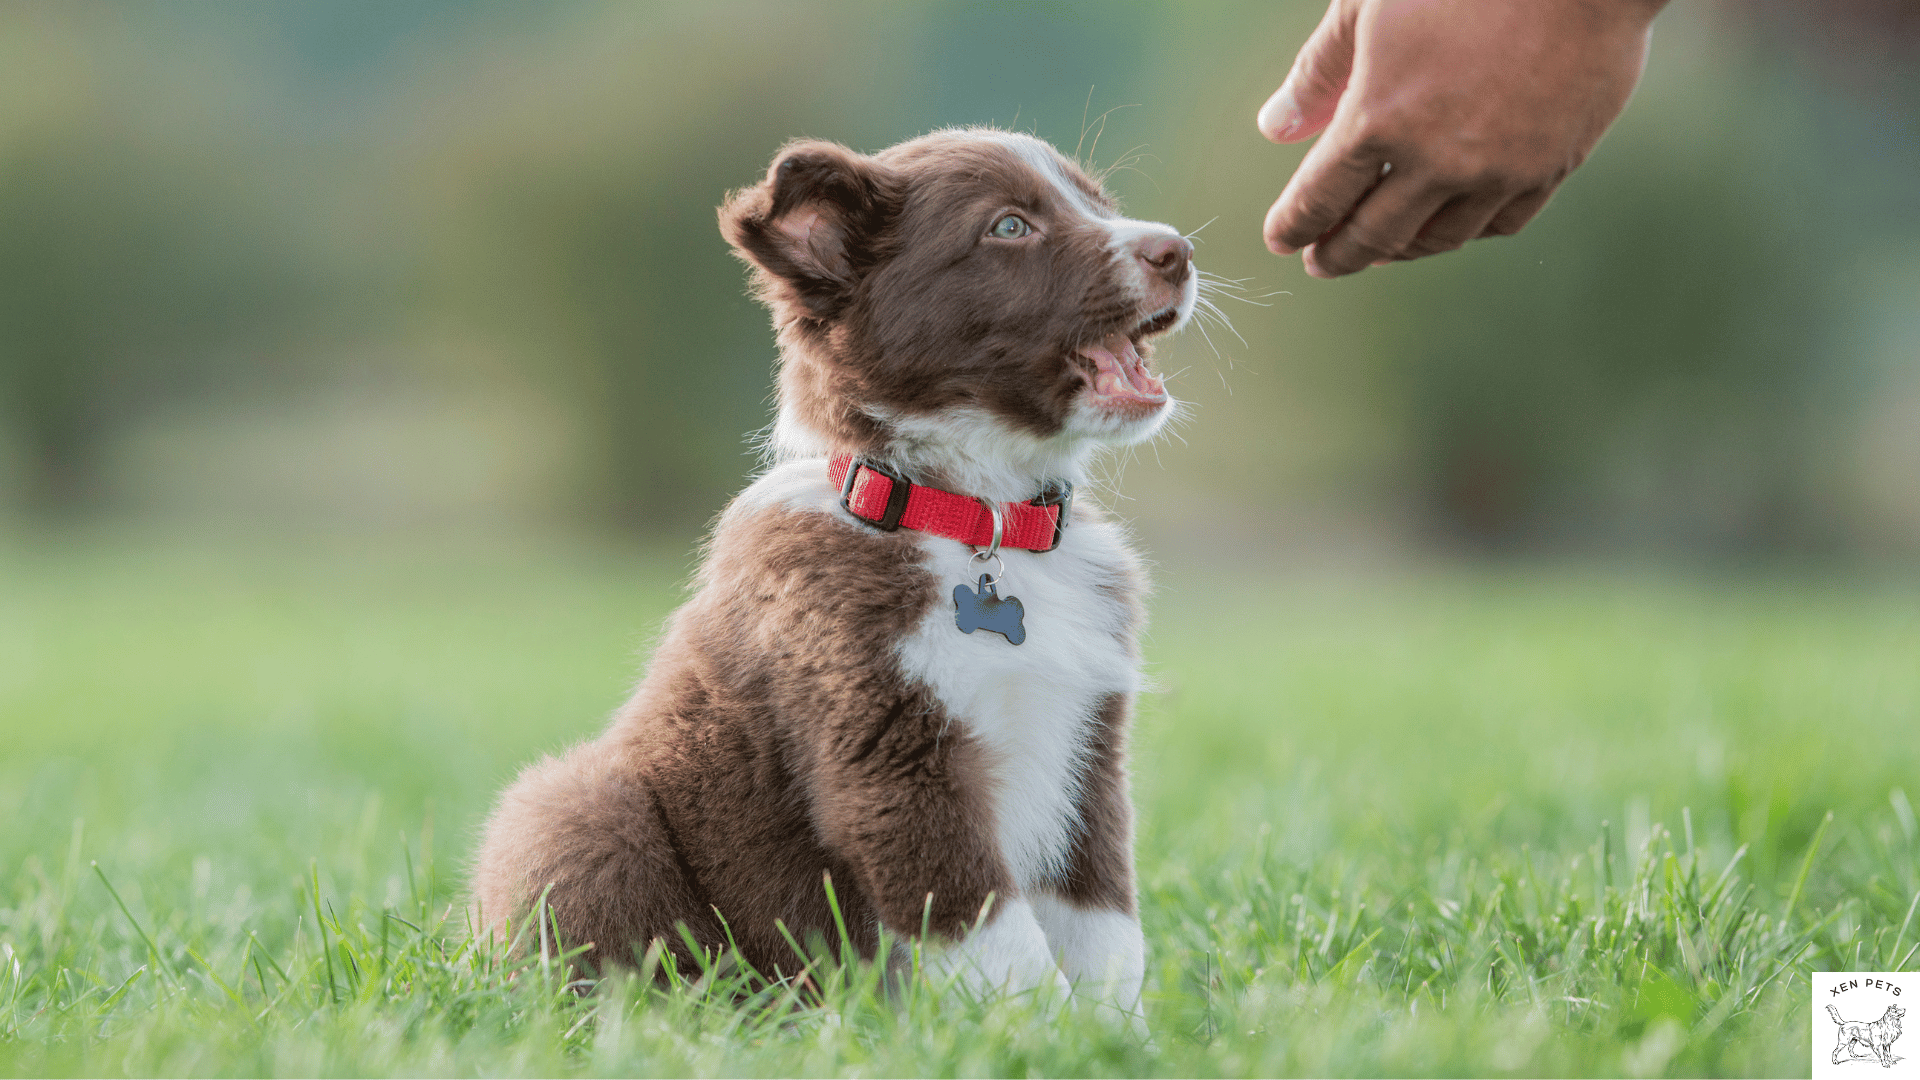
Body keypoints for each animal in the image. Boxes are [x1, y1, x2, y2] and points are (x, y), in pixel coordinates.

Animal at [472, 130, 1190, 1014]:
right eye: (1010, 227)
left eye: (1099, 203)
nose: (1179, 251)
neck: (980, 517)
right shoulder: (891, 762)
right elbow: (997, 935)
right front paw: (1045, 1030)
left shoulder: (1089, 753)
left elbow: (1105, 929)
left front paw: (1119, 1029)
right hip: (573, 812)